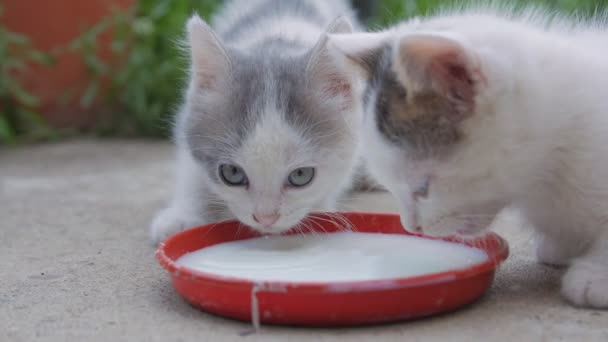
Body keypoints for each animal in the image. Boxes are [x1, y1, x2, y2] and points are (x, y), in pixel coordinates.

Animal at [148, 1, 366, 244]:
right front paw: (181, 217)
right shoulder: (188, 121)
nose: (265, 218)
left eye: (301, 175)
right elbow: (191, 172)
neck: (275, 42)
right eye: (232, 173)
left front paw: (317, 212)